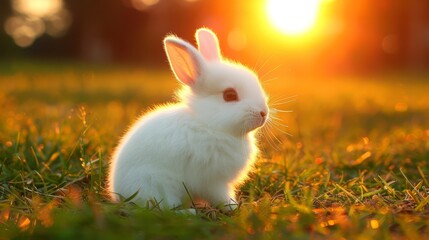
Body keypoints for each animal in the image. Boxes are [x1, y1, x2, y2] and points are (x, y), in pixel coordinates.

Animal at [108, 28, 268, 211]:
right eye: (229, 95)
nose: (264, 113)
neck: (208, 125)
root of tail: (118, 192)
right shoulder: (214, 182)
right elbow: (221, 196)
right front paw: (234, 207)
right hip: (160, 187)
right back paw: (190, 212)